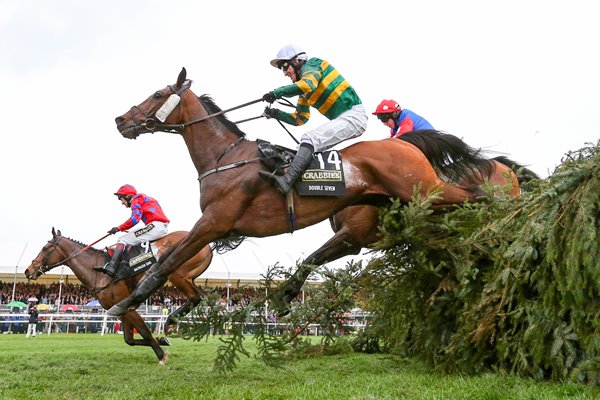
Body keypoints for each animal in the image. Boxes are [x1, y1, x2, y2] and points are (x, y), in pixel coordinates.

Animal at [25, 228, 213, 362]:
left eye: (45, 248)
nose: (28, 270)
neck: (98, 271)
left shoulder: (127, 306)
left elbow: (144, 331)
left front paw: (161, 355)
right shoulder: (120, 310)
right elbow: (129, 339)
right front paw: (161, 341)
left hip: (177, 274)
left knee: (196, 297)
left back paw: (169, 322)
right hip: (187, 276)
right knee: (197, 297)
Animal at [105, 69, 486, 318]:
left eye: (157, 95)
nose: (121, 120)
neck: (224, 157)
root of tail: (407, 144)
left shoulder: (214, 222)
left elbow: (167, 262)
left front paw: (126, 302)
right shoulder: (214, 226)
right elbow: (169, 261)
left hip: (426, 191)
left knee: (476, 195)